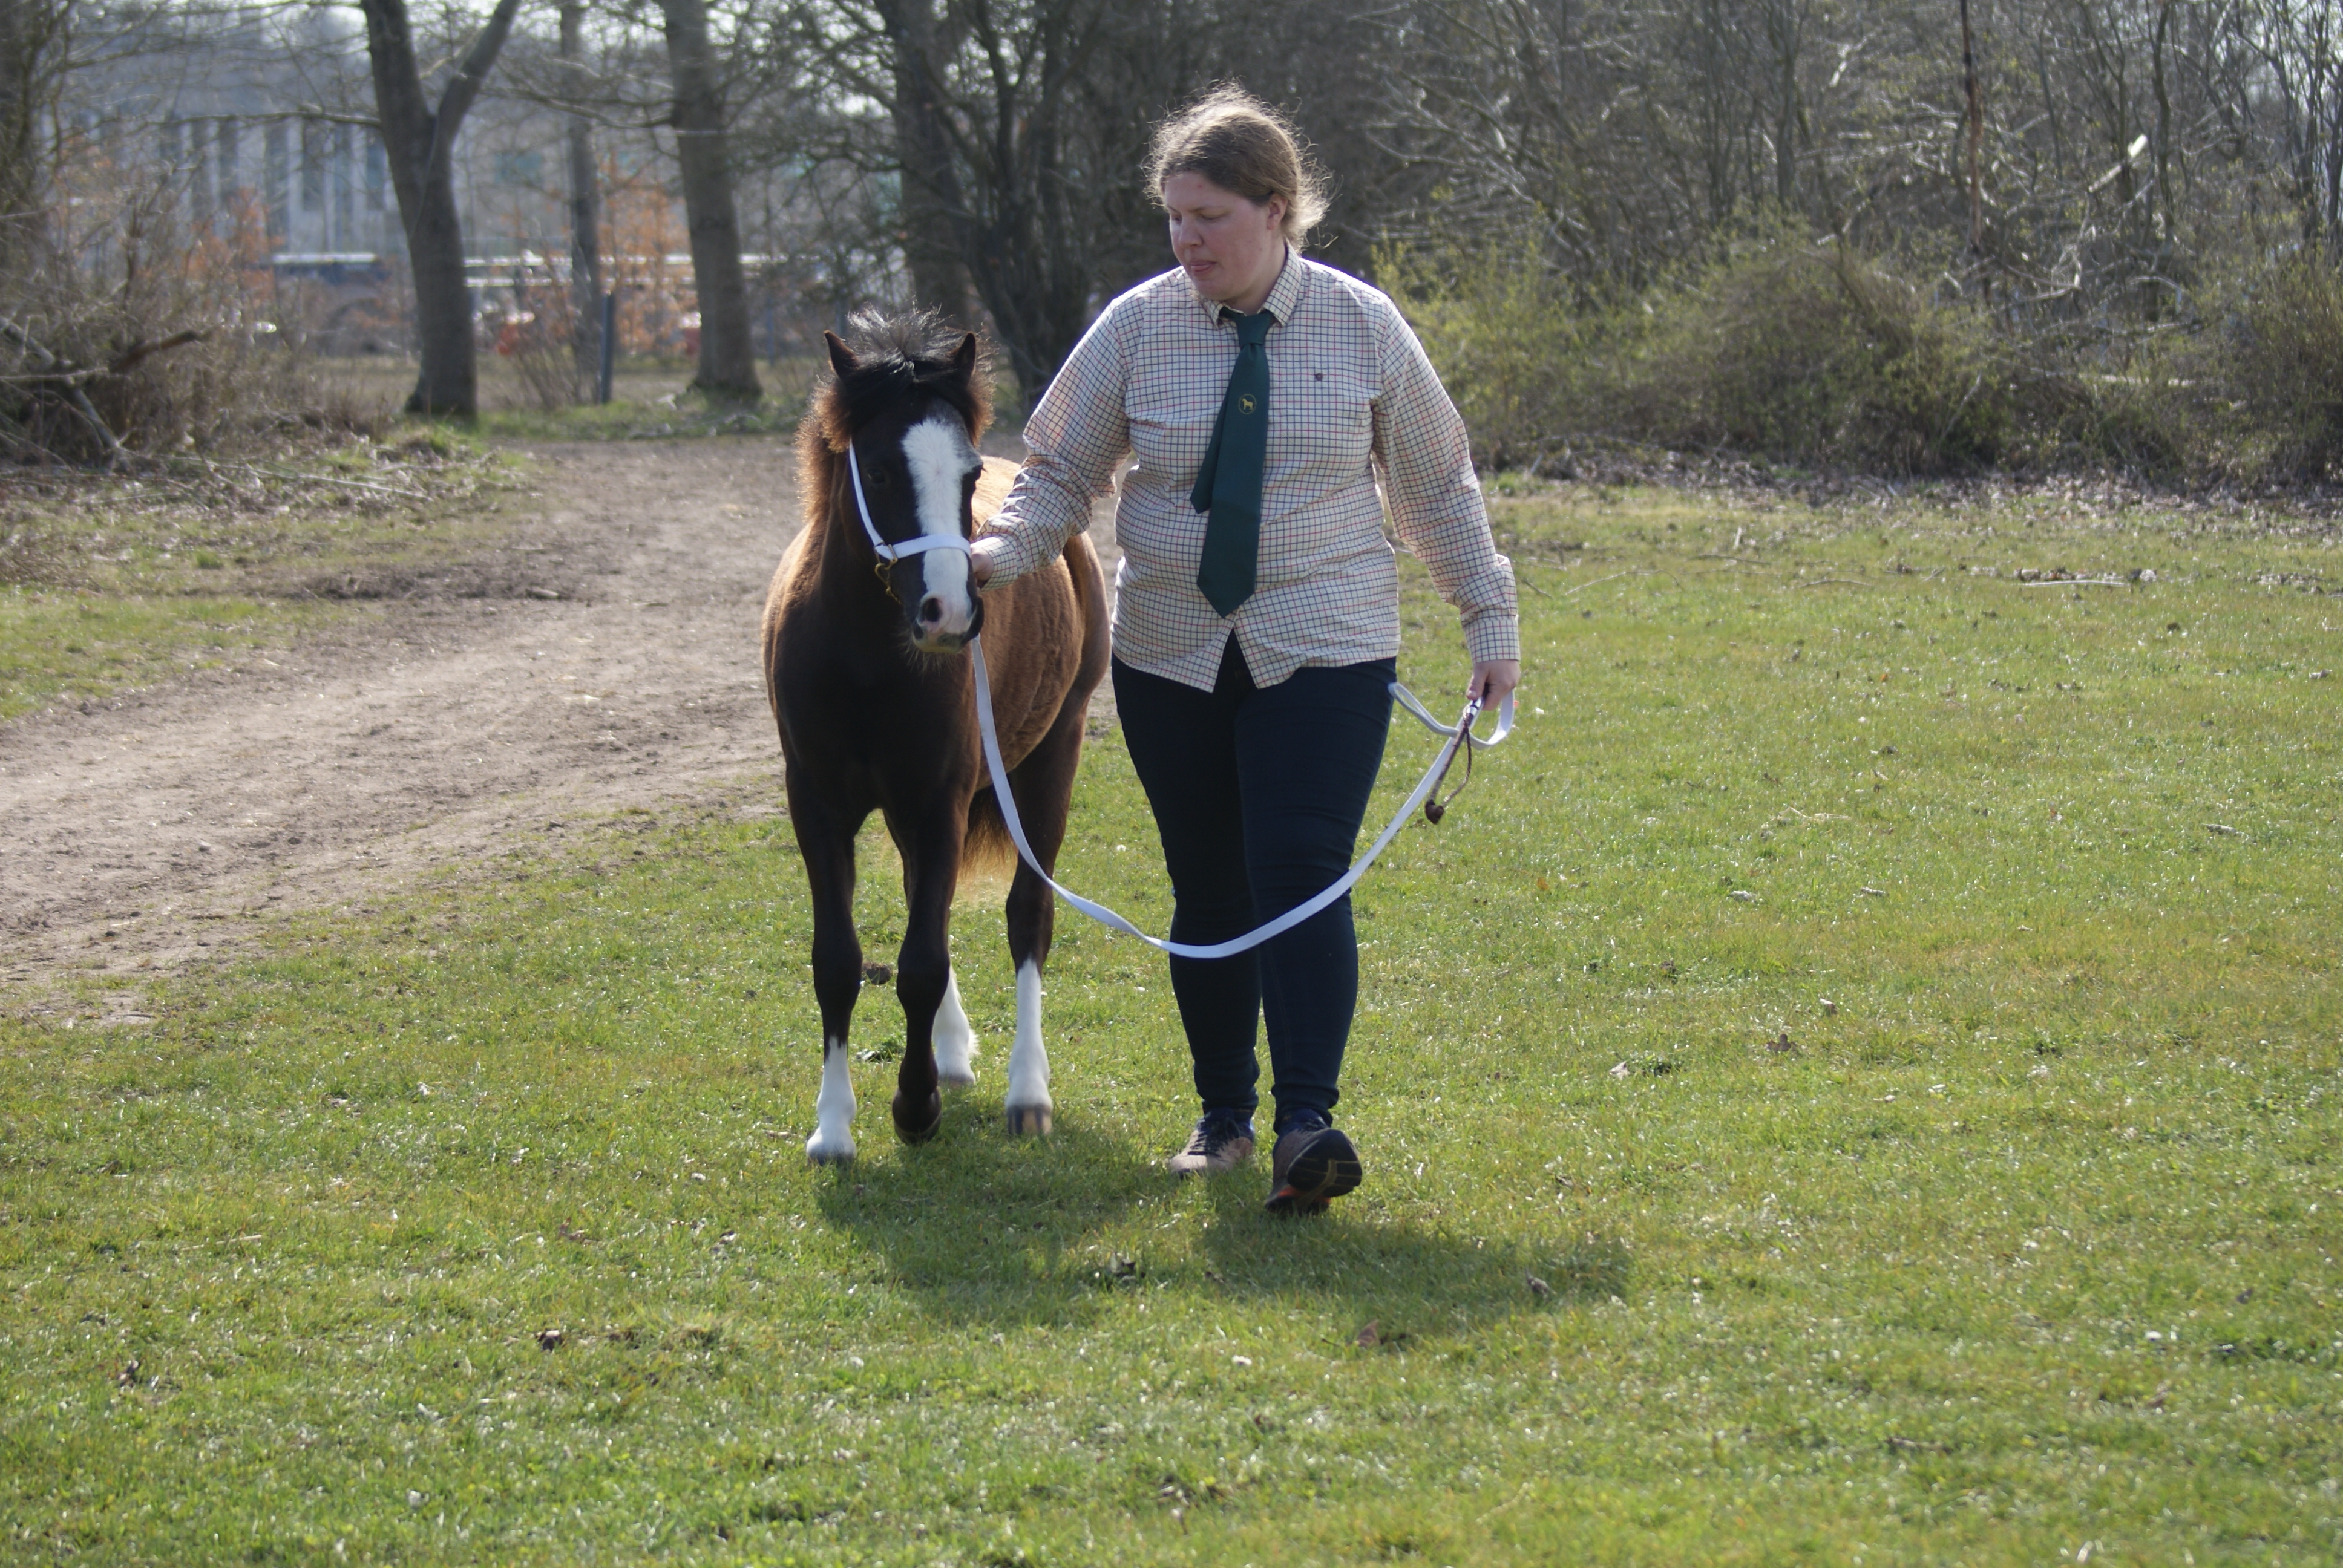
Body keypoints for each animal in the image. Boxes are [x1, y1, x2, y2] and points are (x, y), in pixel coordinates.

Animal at [761, 313, 1109, 1162]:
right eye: (881, 472)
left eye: (968, 471)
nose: (949, 613)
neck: (862, 655)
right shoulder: (819, 807)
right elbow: (838, 960)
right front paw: (833, 1127)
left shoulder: (940, 801)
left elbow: (921, 961)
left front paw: (913, 1107)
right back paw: (951, 1054)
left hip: (1049, 765)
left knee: (1028, 918)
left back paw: (1025, 1092)